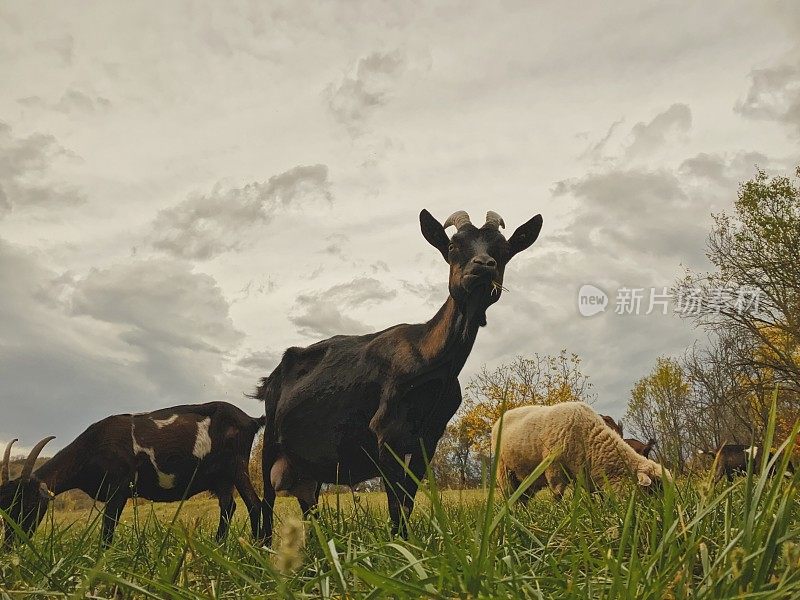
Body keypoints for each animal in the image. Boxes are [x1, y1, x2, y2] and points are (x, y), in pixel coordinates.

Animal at [1, 400, 268, 548]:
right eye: (4, 509)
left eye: (28, 504)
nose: (9, 546)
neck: (94, 446)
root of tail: (251, 420)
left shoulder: (118, 488)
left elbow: (108, 531)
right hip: (222, 478)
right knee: (229, 506)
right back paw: (218, 547)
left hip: (236, 465)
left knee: (255, 505)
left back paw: (259, 549)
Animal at [494, 404, 668, 502]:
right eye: (655, 488)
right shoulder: (554, 468)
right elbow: (557, 496)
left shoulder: (585, 472)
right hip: (504, 472)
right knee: (510, 497)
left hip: (526, 480)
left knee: (522, 499)